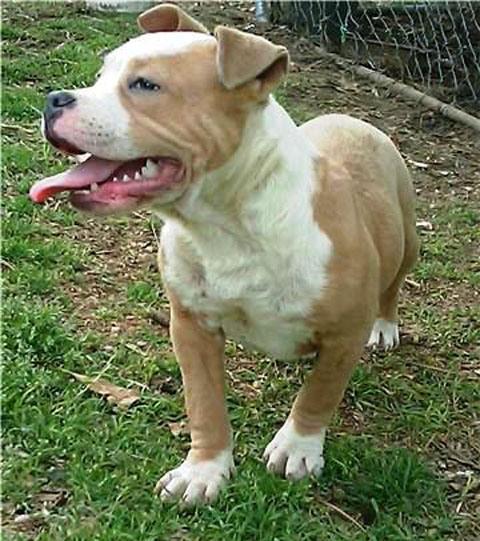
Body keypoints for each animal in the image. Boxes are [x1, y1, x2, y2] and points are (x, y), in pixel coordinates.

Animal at [30, 4, 418, 506]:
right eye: (101, 76)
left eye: (145, 85)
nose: (55, 99)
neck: (227, 224)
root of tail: (352, 118)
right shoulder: (191, 324)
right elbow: (205, 402)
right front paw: (203, 470)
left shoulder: (344, 333)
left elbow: (319, 393)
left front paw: (297, 448)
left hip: (407, 239)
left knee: (394, 284)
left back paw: (385, 326)